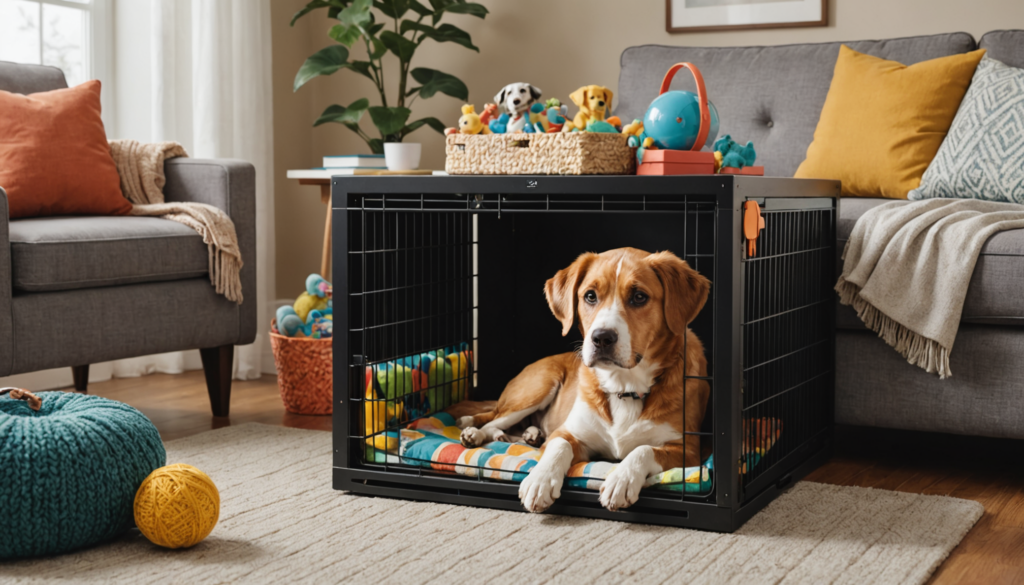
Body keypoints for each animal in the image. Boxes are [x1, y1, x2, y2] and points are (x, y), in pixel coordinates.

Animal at [460, 246, 708, 512]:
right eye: (590, 296)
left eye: (639, 297)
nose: (602, 337)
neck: (624, 387)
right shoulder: (568, 432)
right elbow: (559, 446)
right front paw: (540, 480)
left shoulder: (689, 451)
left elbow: (643, 450)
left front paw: (621, 479)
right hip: (539, 386)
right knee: (492, 418)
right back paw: (475, 432)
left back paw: (527, 435)